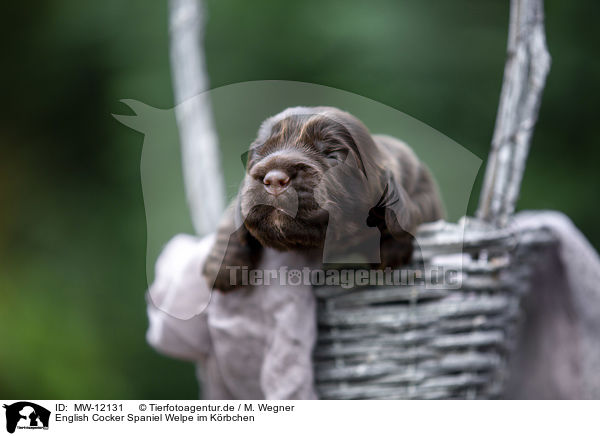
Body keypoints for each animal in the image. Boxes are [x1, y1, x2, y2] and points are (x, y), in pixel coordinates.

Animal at [204, 106, 442, 292]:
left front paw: (391, 249)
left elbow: (411, 211)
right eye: (259, 153)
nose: (274, 179)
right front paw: (222, 267)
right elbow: (233, 213)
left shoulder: (423, 186)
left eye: (332, 154)